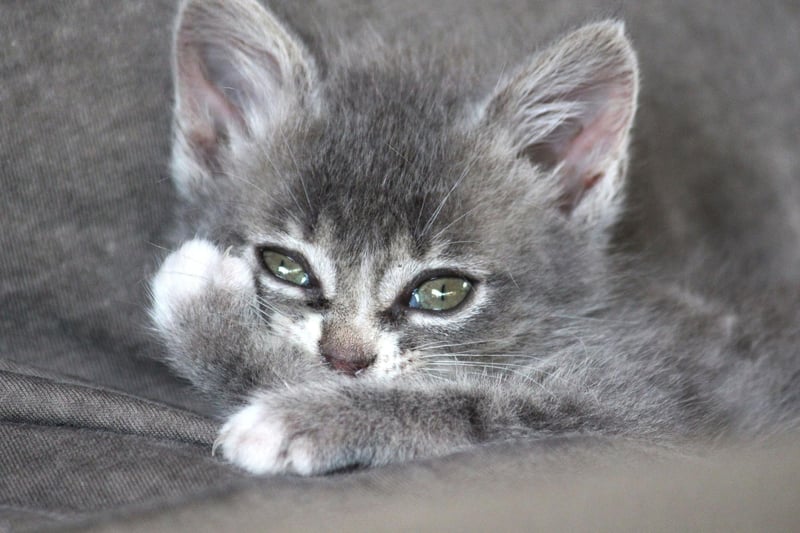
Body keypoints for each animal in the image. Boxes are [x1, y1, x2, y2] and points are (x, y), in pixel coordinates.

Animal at [150, 0, 800, 474]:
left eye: (442, 292)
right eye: (285, 266)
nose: (345, 358)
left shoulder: (660, 413)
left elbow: (475, 407)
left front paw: (297, 414)